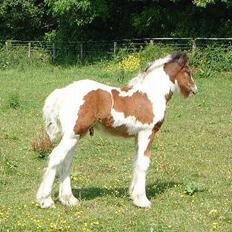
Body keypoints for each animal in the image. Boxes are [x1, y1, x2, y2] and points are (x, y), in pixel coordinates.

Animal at [36, 52, 198, 208]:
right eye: (188, 72)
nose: (195, 89)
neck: (150, 95)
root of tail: (63, 93)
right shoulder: (147, 133)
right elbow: (143, 163)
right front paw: (142, 200)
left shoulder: (137, 136)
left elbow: (136, 162)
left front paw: (133, 195)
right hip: (72, 135)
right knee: (55, 157)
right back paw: (45, 200)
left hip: (75, 135)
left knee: (66, 162)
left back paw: (69, 199)